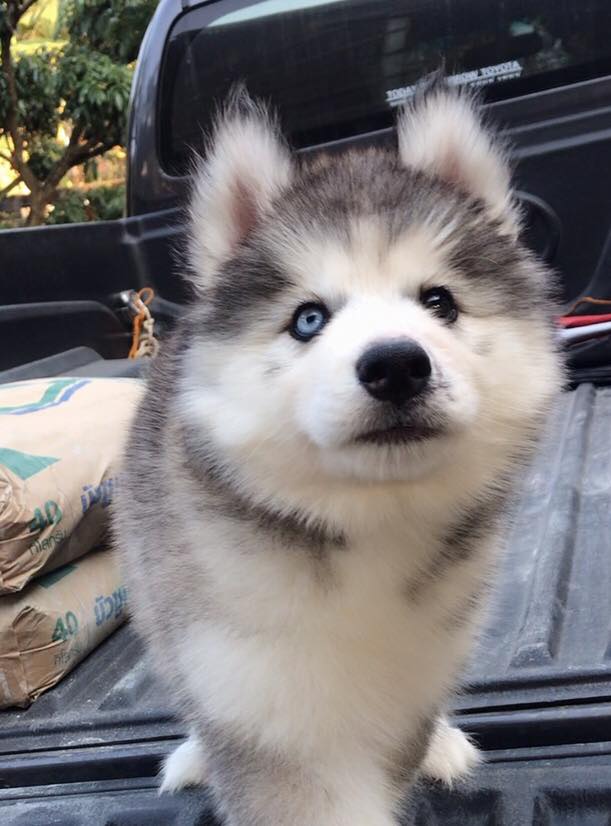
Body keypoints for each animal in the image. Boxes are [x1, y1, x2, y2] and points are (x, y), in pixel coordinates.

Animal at [113, 81, 563, 825]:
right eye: (308, 319)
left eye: (439, 302)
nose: (396, 366)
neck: (369, 523)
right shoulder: (260, 700)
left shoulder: (408, 683)